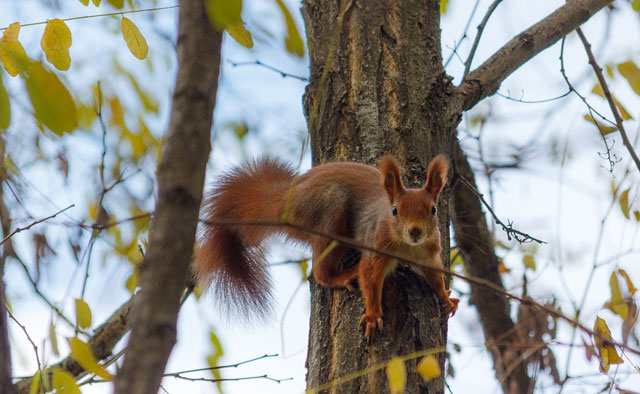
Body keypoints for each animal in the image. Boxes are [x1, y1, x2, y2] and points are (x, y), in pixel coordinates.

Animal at [192, 155, 458, 338]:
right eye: (394, 211)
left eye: (433, 210)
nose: (415, 231)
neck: (407, 246)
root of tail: (287, 201)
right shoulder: (376, 244)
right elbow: (370, 277)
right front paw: (373, 314)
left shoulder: (429, 252)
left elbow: (435, 275)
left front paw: (445, 298)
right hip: (330, 215)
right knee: (320, 271)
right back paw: (342, 276)